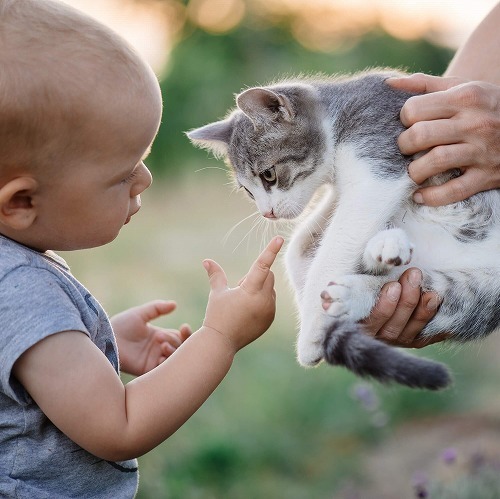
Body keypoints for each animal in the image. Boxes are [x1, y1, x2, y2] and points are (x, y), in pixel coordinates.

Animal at [187, 70, 500, 390]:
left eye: (269, 175)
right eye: (248, 191)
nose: (267, 212)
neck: (338, 119)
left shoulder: (377, 157)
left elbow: (335, 245)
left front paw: (312, 332)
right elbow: (302, 245)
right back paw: (381, 252)